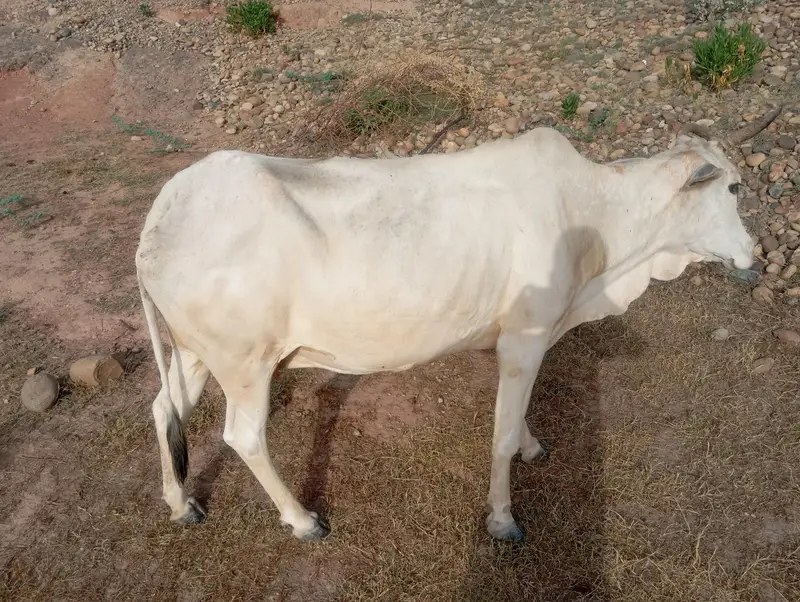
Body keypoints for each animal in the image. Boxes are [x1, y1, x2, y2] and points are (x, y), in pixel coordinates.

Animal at [135, 111, 776, 543]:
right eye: (734, 185)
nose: (755, 254)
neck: (594, 220)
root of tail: (164, 213)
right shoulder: (525, 337)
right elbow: (500, 433)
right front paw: (503, 518)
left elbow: (517, 420)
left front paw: (532, 446)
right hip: (246, 364)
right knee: (243, 437)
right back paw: (301, 520)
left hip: (197, 353)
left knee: (166, 409)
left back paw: (180, 504)